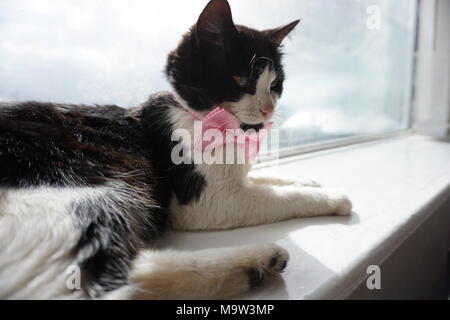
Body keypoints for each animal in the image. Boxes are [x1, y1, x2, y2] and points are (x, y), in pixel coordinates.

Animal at [0, 0, 352, 300]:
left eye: (275, 85)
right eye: (241, 79)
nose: (268, 109)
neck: (199, 116)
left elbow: (264, 181)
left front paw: (307, 180)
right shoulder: (207, 201)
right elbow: (278, 197)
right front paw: (331, 196)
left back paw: (252, 270)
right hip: (81, 198)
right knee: (102, 284)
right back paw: (254, 261)